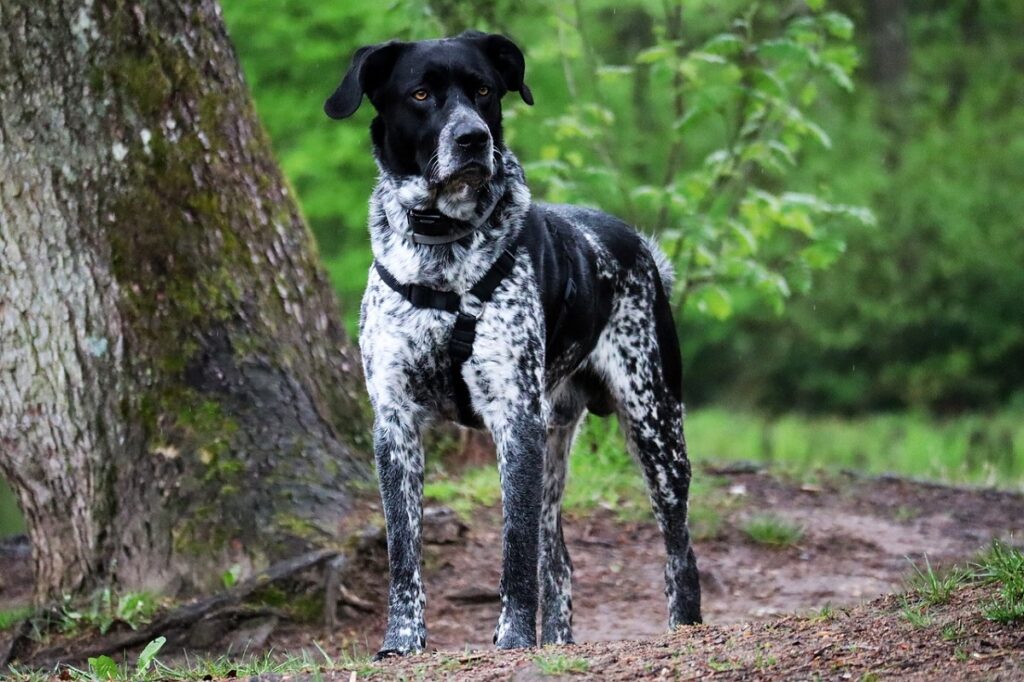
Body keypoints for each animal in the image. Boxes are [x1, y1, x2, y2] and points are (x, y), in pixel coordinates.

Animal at [323, 29, 700, 655]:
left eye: (483, 90)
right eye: (421, 93)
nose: (473, 138)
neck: (443, 255)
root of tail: (640, 247)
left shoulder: (514, 419)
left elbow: (514, 553)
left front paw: (514, 637)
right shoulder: (395, 423)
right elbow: (404, 552)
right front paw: (402, 641)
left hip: (654, 427)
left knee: (679, 553)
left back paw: (683, 628)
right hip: (554, 445)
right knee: (560, 561)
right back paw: (559, 642)